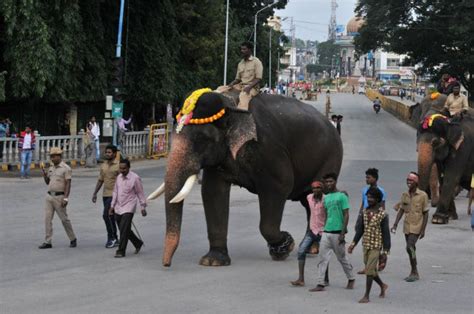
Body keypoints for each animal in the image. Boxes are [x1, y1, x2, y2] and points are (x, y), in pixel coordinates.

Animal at [148, 89, 340, 266]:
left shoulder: (268, 148)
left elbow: (280, 185)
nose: (166, 264)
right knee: (309, 202)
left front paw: (285, 246)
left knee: (316, 198)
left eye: (202, 139)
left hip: (331, 158)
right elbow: (212, 192)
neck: (230, 105)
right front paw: (213, 261)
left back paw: (308, 248)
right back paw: (310, 248)